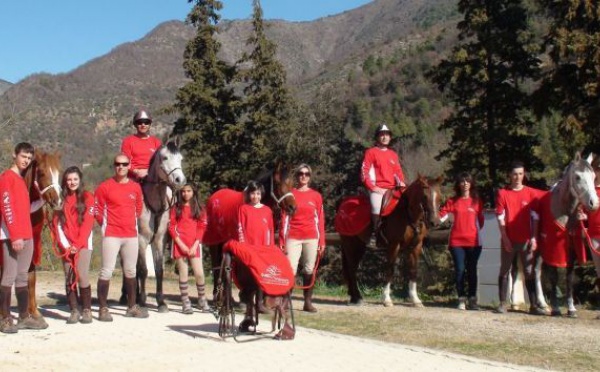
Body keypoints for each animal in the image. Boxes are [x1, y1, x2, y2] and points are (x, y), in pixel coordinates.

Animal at [132, 141, 184, 312]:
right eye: (165, 157)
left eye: (181, 158)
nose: (180, 179)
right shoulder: (141, 239)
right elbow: (143, 270)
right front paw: (142, 300)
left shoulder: (159, 240)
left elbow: (159, 270)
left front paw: (161, 302)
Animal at [204, 161, 298, 304]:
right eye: (277, 183)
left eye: (292, 183)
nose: (293, 208)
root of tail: (214, 197)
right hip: (214, 244)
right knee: (217, 266)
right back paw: (218, 297)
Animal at [336, 176, 442, 306]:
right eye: (425, 196)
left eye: (439, 197)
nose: (435, 222)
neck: (406, 214)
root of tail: (343, 204)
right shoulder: (394, 245)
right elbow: (390, 269)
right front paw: (386, 299)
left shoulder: (416, 246)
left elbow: (413, 270)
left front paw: (415, 299)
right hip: (350, 244)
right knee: (351, 269)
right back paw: (358, 298)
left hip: (359, 246)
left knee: (353, 269)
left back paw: (355, 298)